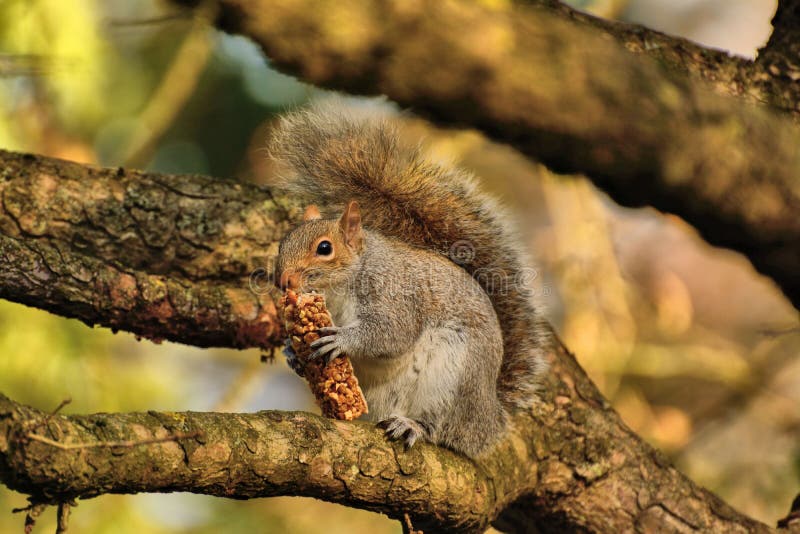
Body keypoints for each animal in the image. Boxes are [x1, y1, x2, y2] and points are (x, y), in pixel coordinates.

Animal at [271, 101, 550, 458]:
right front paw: (291, 352)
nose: (284, 281)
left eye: (324, 248)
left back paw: (414, 426)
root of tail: (488, 420)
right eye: (283, 242)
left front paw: (341, 340)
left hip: (452, 375)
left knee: (442, 426)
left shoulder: (394, 292)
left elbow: (393, 333)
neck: (339, 290)